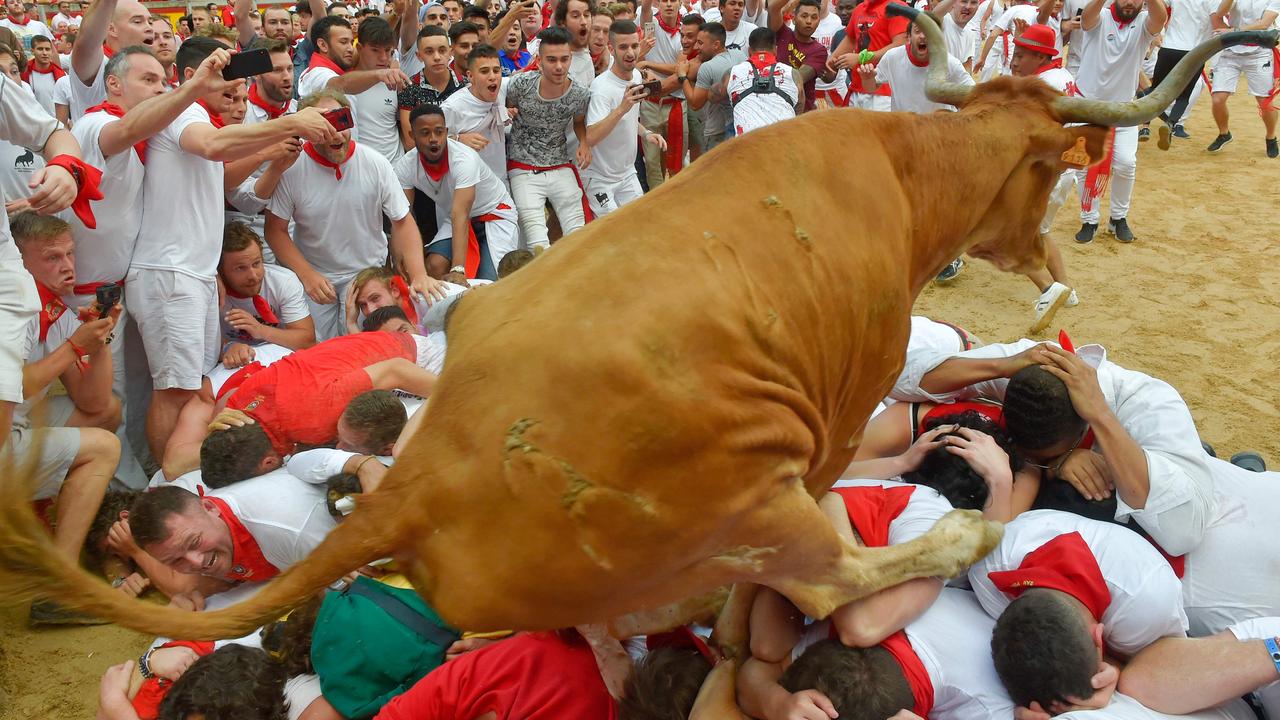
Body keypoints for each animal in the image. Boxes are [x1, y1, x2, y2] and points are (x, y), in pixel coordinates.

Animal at [2, 9, 1280, 650]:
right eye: (1042, 171)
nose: (1045, 252)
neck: (895, 173)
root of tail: (427, 477)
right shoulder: (844, 404)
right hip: (753, 499)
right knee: (832, 583)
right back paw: (955, 536)